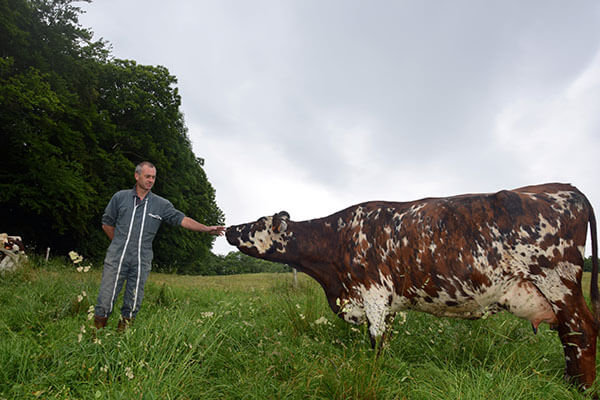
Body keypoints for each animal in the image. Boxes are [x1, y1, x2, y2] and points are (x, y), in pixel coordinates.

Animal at [226, 183, 600, 390]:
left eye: (257, 223)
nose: (228, 228)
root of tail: (566, 187)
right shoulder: (385, 303)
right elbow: (385, 341)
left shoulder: (374, 294)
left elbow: (376, 344)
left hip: (558, 282)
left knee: (580, 331)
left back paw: (578, 387)